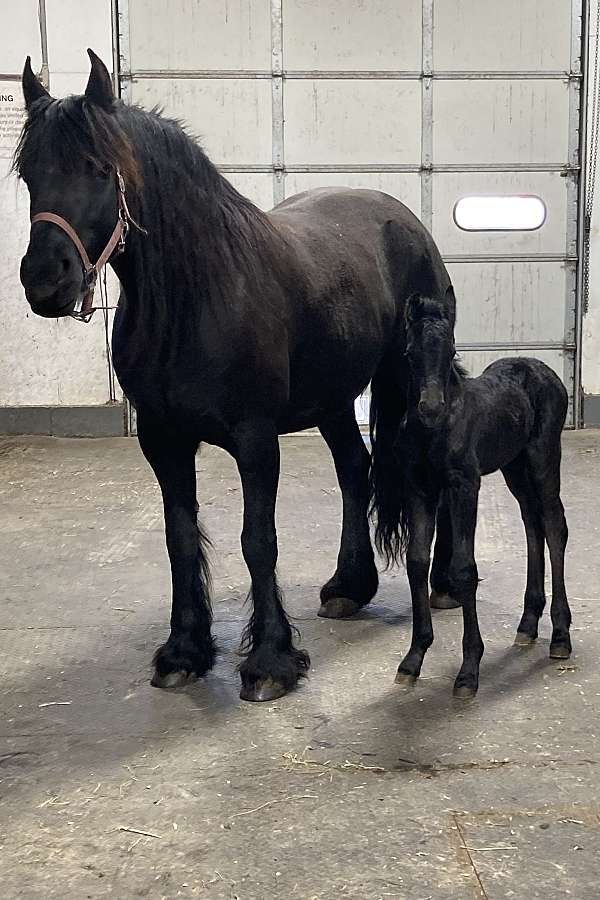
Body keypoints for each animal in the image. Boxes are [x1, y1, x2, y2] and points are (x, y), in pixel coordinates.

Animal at [15, 51, 454, 704]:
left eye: (98, 168)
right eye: (27, 174)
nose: (46, 281)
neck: (197, 299)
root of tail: (403, 219)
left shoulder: (255, 439)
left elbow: (258, 540)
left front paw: (270, 660)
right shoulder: (163, 441)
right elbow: (178, 538)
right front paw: (184, 651)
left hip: (417, 378)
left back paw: (446, 582)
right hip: (331, 399)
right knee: (354, 469)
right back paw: (348, 585)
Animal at [394, 294, 572, 696]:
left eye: (451, 350)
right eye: (409, 353)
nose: (431, 407)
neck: (437, 430)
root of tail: (544, 370)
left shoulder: (465, 487)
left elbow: (463, 569)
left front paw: (468, 672)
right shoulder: (419, 489)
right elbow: (417, 561)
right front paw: (413, 659)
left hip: (542, 459)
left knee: (554, 527)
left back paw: (560, 636)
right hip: (514, 467)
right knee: (532, 523)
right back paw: (527, 624)